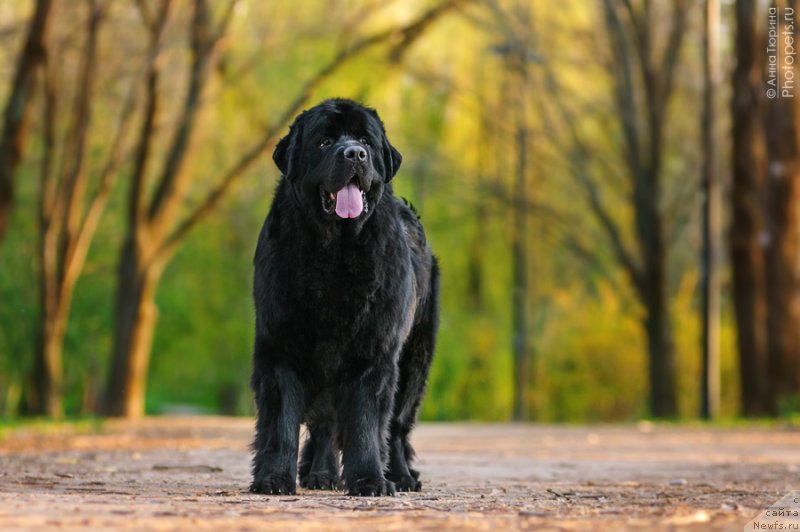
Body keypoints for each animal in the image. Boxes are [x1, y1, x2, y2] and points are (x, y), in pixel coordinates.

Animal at [248, 97, 440, 496]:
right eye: (324, 142)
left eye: (366, 141)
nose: (354, 154)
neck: (334, 253)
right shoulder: (280, 346)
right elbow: (280, 421)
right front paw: (273, 478)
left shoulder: (374, 352)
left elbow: (367, 424)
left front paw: (370, 480)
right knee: (324, 423)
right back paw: (321, 475)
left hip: (414, 361)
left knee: (396, 426)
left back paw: (401, 476)